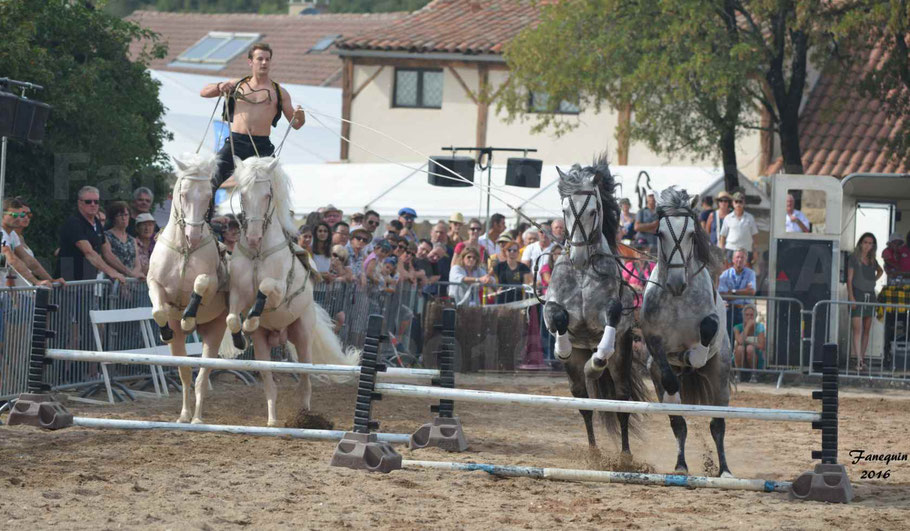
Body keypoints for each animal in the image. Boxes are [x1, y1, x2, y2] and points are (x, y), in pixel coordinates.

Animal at [148, 153, 230, 424]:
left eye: (208, 195)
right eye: (183, 194)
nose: (193, 236)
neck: (184, 250)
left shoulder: (212, 283)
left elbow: (201, 282)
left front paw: (188, 316)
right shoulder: (154, 284)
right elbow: (158, 310)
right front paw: (165, 329)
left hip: (215, 330)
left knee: (203, 375)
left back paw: (197, 418)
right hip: (182, 344)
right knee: (185, 372)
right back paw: (184, 415)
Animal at [226, 156, 358, 426]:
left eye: (267, 195)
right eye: (242, 194)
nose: (253, 238)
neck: (258, 254)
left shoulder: (279, 291)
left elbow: (265, 287)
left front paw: (252, 319)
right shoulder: (237, 293)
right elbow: (233, 318)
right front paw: (240, 336)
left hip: (303, 338)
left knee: (305, 382)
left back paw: (306, 418)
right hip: (264, 347)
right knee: (269, 383)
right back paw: (272, 421)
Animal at [540, 157, 648, 454]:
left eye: (593, 211)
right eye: (565, 210)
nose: (577, 258)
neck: (582, 274)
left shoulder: (614, 313)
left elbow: (608, 327)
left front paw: (596, 362)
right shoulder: (551, 309)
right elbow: (557, 318)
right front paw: (561, 348)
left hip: (622, 359)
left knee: (621, 402)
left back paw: (625, 456)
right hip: (576, 373)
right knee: (584, 403)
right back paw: (593, 453)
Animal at [636, 187, 736, 478]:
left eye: (692, 233)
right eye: (660, 234)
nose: (677, 283)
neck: (678, 298)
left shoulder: (712, 324)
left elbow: (708, 327)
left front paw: (695, 355)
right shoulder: (653, 341)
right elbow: (669, 379)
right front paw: (674, 393)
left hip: (719, 378)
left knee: (717, 425)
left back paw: (724, 470)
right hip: (657, 375)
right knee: (679, 424)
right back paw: (680, 466)